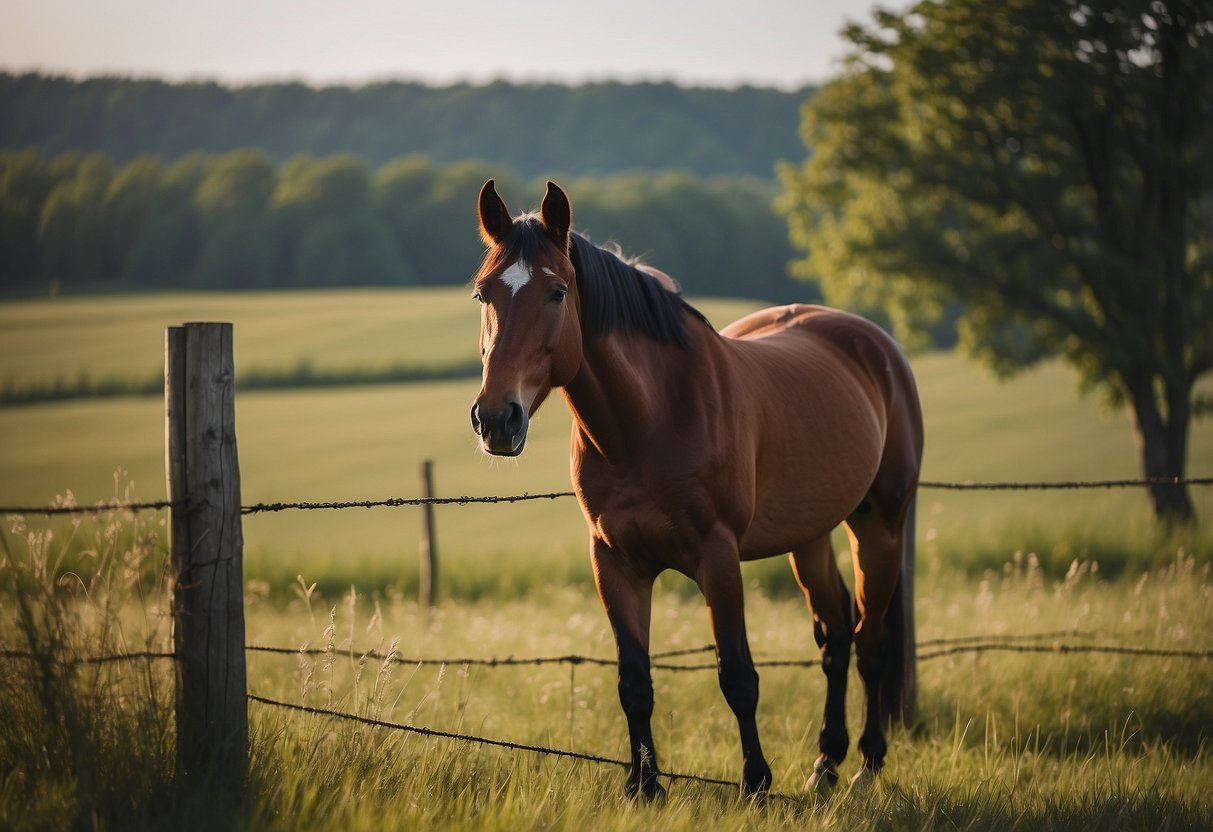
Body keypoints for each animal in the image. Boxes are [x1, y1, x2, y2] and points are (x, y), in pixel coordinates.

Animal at [468, 181, 921, 800]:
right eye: (482, 293)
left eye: (557, 292)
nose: (496, 419)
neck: (648, 421)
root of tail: (878, 345)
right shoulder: (616, 563)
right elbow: (634, 681)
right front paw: (643, 786)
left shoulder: (718, 557)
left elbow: (738, 676)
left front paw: (755, 782)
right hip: (810, 536)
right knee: (835, 637)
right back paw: (825, 764)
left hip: (880, 526)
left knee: (870, 642)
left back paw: (867, 764)